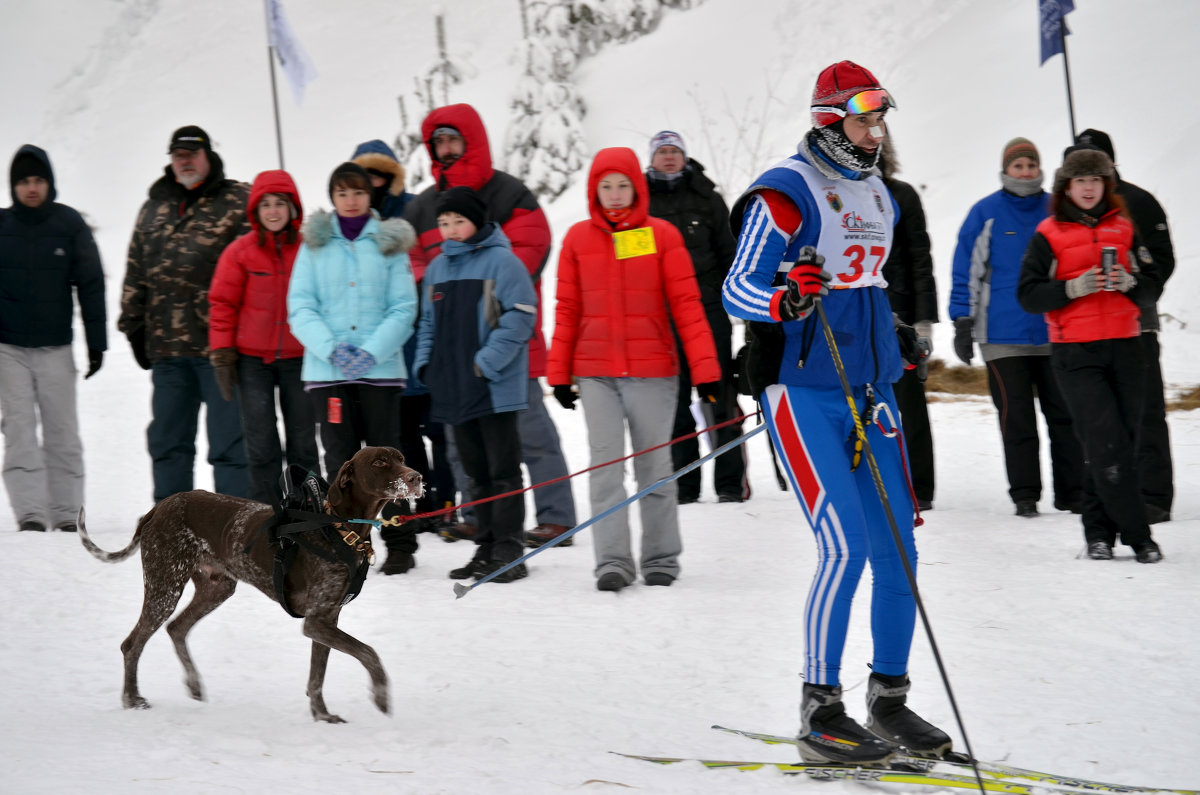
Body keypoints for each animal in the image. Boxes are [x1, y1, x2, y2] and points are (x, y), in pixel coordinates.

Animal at [77, 444, 424, 725]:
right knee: (132, 643)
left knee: (176, 628)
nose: (417, 477)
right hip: (165, 587)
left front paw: (322, 715)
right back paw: (132, 699)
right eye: (379, 462)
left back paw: (193, 684)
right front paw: (381, 695)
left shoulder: (326, 620)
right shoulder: (316, 622)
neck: (340, 529)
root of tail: (158, 507)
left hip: (216, 588)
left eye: (401, 458)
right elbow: (370, 653)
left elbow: (318, 676)